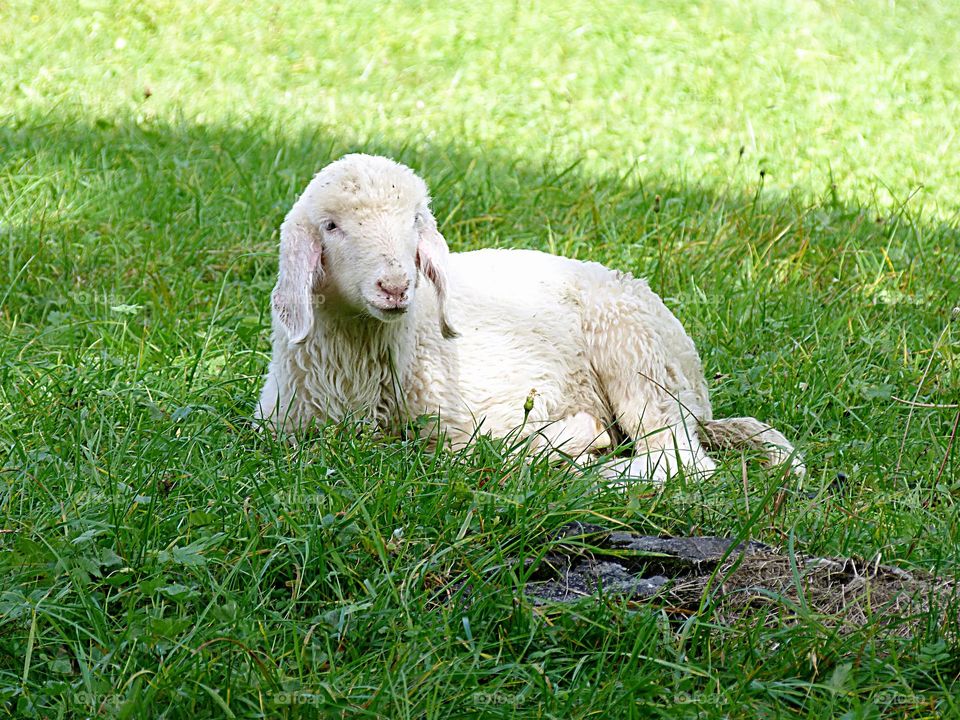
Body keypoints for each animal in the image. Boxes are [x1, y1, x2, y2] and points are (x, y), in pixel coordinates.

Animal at [255, 153, 804, 483]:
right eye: (331, 226)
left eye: (414, 222)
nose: (395, 286)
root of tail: (700, 392)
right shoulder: (280, 432)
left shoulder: (479, 417)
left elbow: (477, 455)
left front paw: (572, 439)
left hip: (637, 359)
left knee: (682, 461)